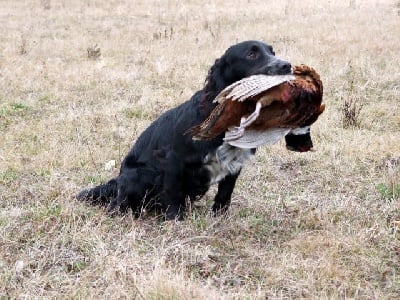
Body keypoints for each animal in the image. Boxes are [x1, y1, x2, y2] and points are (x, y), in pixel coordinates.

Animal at [76, 39, 310, 219]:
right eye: (252, 54)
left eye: (272, 52)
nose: (287, 66)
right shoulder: (171, 159)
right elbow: (173, 194)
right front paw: (175, 221)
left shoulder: (234, 163)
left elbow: (224, 195)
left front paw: (219, 219)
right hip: (141, 175)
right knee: (116, 205)